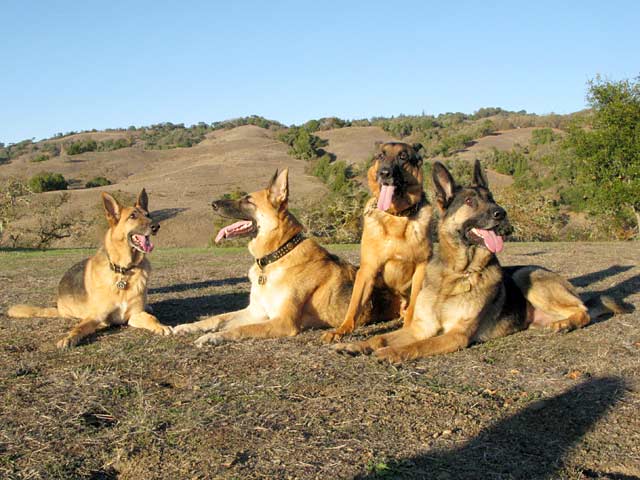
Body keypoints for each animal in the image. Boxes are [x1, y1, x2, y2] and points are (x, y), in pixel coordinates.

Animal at [6, 188, 171, 348]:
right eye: (133, 216)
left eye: (148, 215)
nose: (156, 226)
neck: (123, 271)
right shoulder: (97, 316)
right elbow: (79, 328)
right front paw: (68, 339)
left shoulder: (135, 315)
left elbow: (151, 318)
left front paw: (161, 326)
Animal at [172, 169, 378, 344]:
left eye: (248, 200)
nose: (213, 204)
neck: (276, 256)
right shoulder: (254, 312)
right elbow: (217, 318)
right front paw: (188, 327)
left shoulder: (283, 322)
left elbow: (242, 329)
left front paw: (214, 337)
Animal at [322, 141, 432, 344]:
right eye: (380, 156)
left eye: (403, 157)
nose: (384, 173)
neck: (396, 216)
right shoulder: (368, 269)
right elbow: (354, 305)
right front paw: (341, 330)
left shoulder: (421, 268)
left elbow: (414, 303)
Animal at [338, 159, 628, 362]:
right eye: (469, 201)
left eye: (492, 200)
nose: (501, 213)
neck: (456, 274)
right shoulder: (421, 327)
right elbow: (382, 337)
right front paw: (357, 345)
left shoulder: (456, 335)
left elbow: (419, 345)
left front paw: (393, 354)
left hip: (527, 275)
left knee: (584, 309)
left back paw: (566, 323)